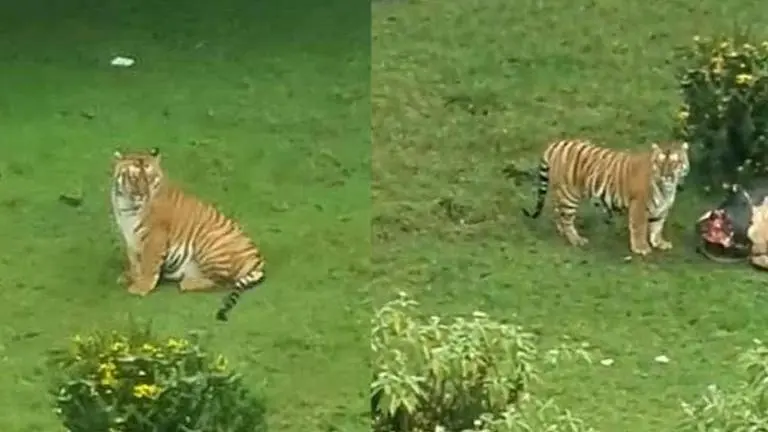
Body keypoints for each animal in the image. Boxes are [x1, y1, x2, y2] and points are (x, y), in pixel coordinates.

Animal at [110, 147, 265, 321]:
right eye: (134, 178)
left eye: (149, 178)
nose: (143, 194)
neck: (126, 205)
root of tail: (259, 261)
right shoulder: (130, 236)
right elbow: (134, 261)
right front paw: (131, 276)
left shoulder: (155, 237)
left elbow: (148, 264)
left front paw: (141, 287)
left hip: (209, 242)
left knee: (223, 281)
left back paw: (188, 283)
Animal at [522, 139, 690, 255]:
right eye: (659, 163)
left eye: (675, 163)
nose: (666, 175)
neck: (667, 189)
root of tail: (557, 143)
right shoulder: (639, 207)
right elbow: (639, 228)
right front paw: (641, 248)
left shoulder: (661, 209)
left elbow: (657, 227)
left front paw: (659, 243)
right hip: (570, 195)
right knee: (567, 219)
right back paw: (576, 239)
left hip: (561, 193)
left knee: (558, 211)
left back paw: (562, 231)